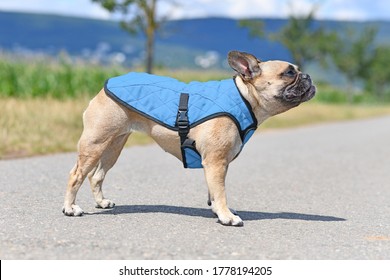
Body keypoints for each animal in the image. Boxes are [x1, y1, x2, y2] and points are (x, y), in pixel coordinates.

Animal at [61, 50, 316, 226]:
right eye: (289, 73)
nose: (308, 76)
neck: (244, 97)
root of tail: (104, 87)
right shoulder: (216, 162)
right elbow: (221, 191)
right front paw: (227, 216)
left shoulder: (215, 164)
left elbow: (213, 190)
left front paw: (217, 211)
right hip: (95, 143)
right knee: (76, 175)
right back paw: (70, 208)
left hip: (114, 145)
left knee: (97, 175)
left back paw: (101, 202)